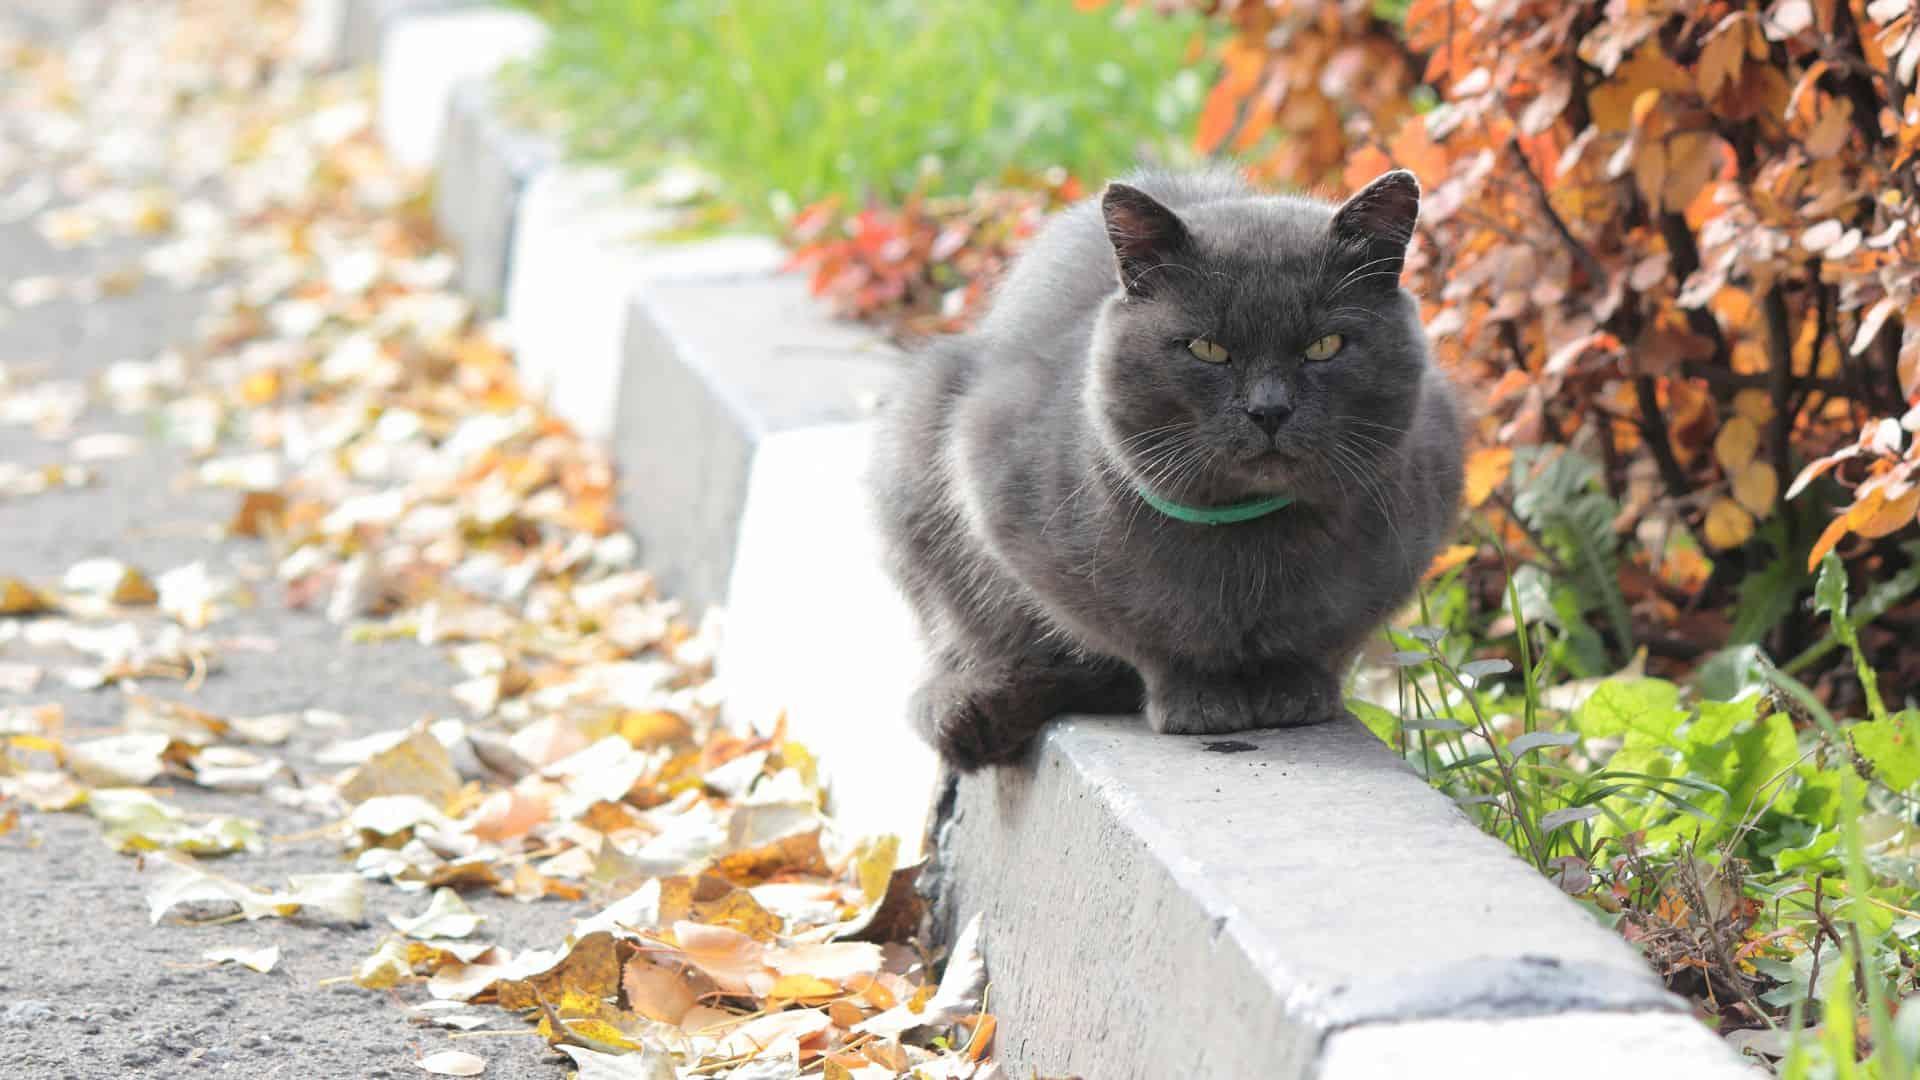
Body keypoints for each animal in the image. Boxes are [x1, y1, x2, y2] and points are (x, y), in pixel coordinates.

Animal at [879, 170, 1459, 764]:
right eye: (1207, 349)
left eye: (1325, 345)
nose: (1269, 410)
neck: (1251, 547)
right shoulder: (1003, 491)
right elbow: (1150, 638)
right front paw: (1199, 700)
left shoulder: (1403, 543)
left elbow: (1322, 640)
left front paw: (1293, 691)